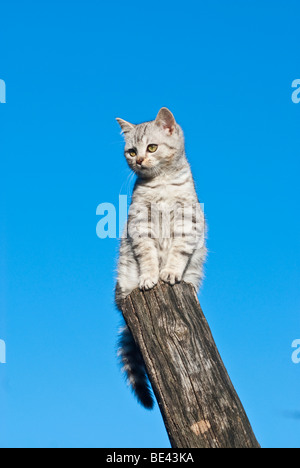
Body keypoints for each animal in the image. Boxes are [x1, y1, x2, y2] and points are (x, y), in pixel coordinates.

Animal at [115, 108, 206, 408]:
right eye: (131, 151)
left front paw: (170, 273)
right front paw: (149, 277)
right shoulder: (140, 225)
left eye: (152, 147)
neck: (162, 184)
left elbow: (177, 253)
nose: (140, 160)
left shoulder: (187, 223)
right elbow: (148, 257)